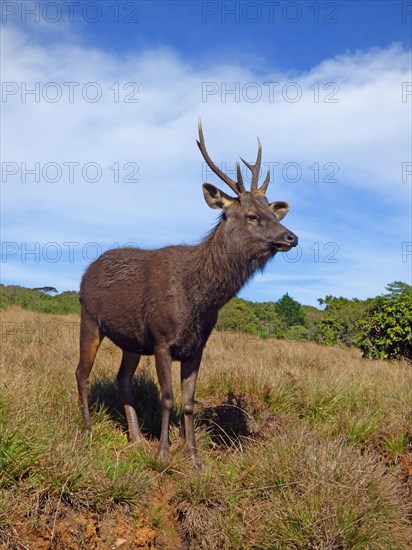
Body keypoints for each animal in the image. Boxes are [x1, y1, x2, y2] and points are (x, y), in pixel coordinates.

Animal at [76, 118, 296, 468]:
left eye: (274, 214)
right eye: (251, 216)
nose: (291, 237)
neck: (199, 300)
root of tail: (87, 272)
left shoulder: (197, 345)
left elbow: (188, 401)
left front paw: (193, 457)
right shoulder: (162, 339)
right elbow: (167, 398)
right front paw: (164, 454)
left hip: (131, 341)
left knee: (122, 379)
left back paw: (136, 438)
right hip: (89, 318)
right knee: (82, 373)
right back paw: (87, 431)